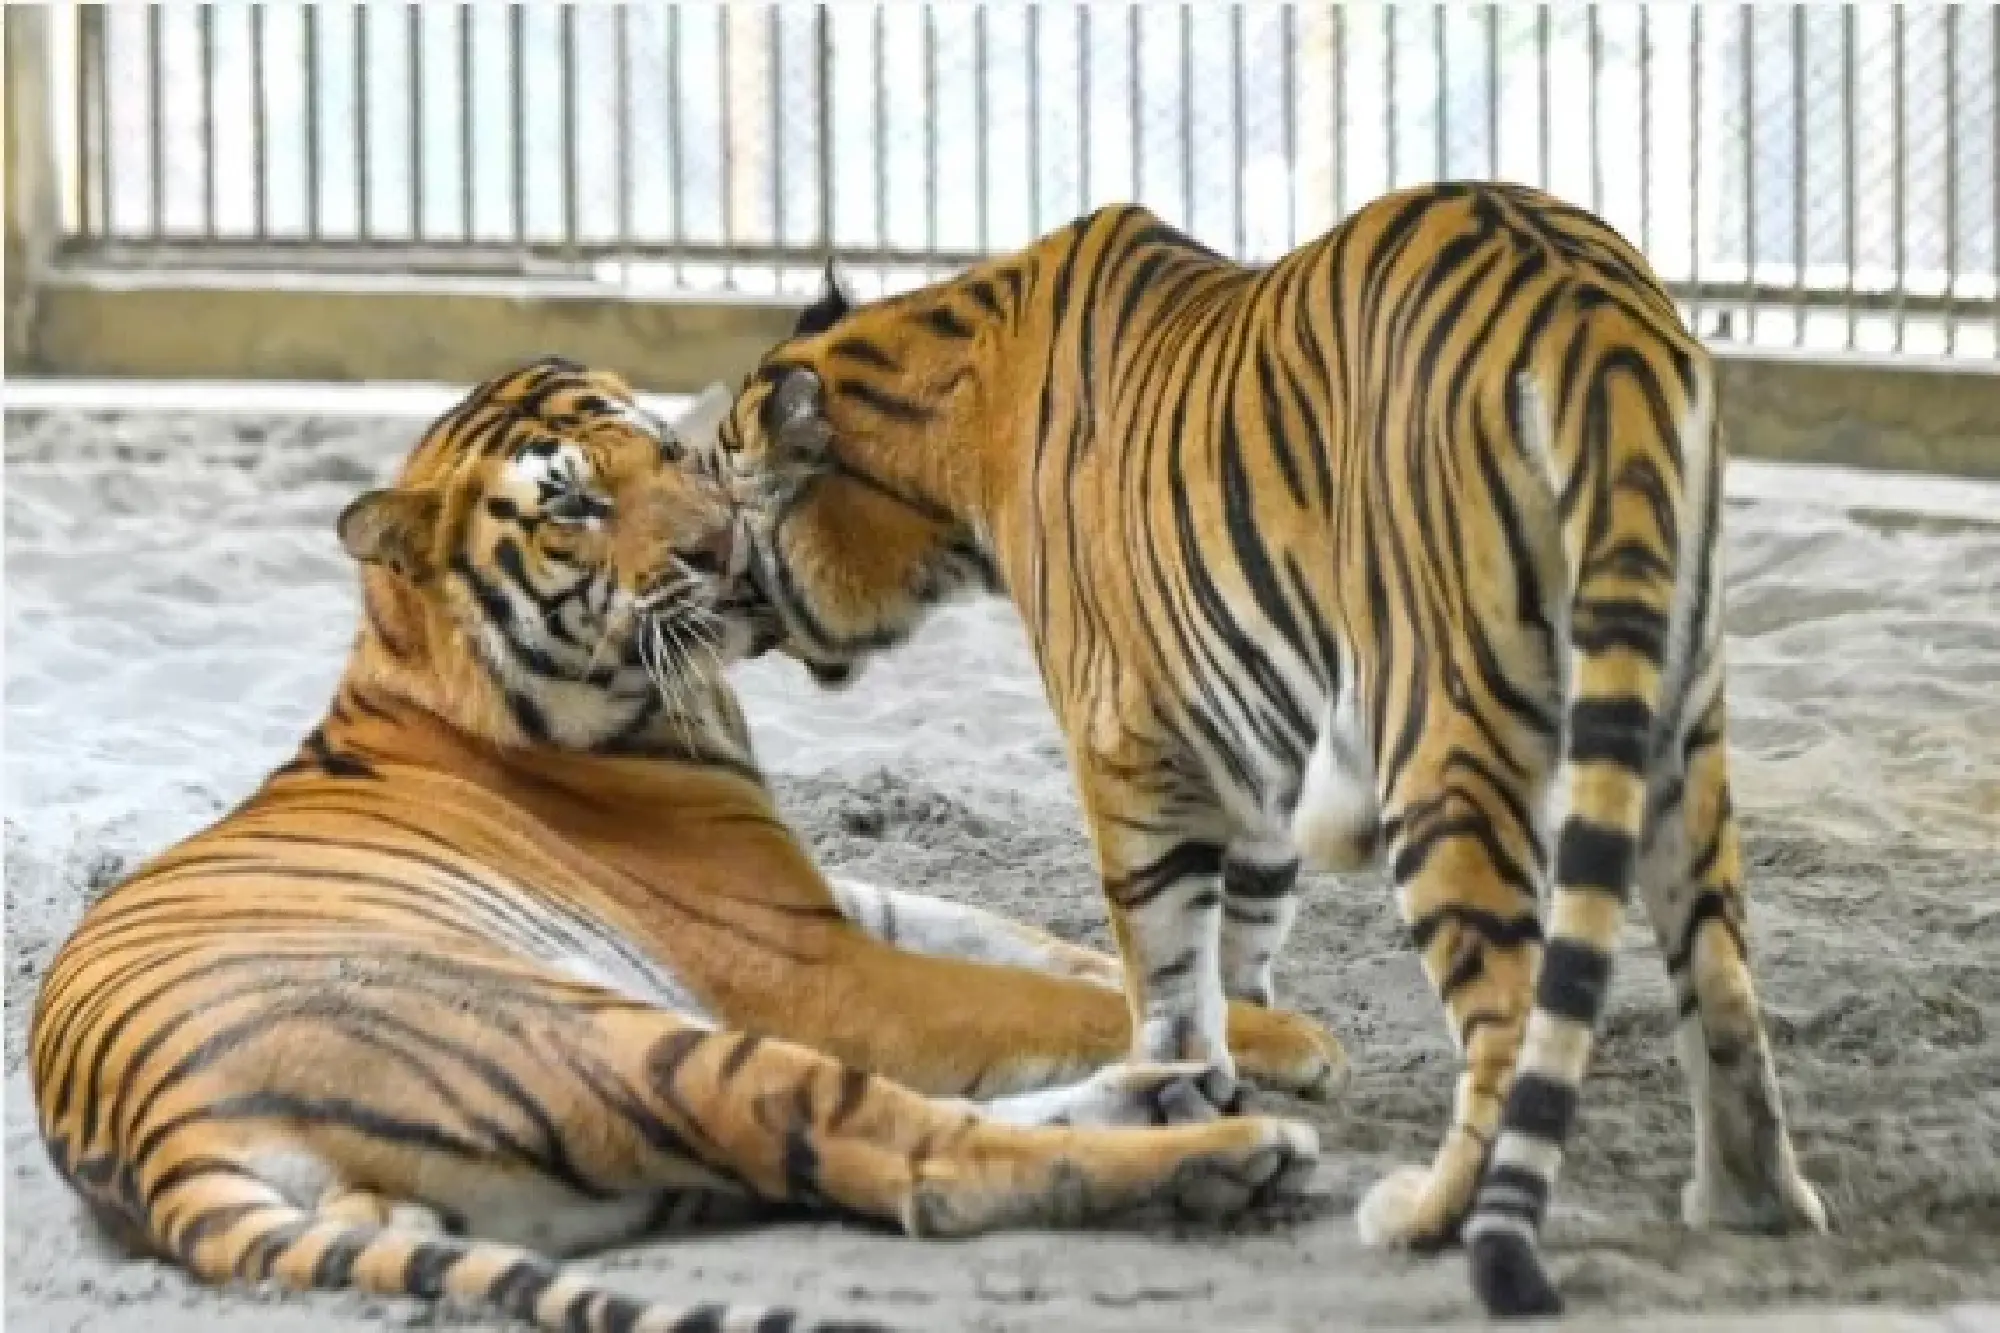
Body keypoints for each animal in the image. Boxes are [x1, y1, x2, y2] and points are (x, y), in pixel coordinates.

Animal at [27, 357, 1338, 1333]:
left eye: (663, 449)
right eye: (571, 505)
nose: (726, 547)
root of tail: (159, 1140)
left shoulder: (833, 901)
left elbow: (1039, 947)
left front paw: (1247, 1019)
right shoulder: (823, 969)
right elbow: (1029, 997)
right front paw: (1297, 1046)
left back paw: (1173, 1097)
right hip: (629, 1040)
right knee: (912, 1160)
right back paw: (1228, 1148)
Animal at [700, 180, 1829, 1317]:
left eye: (726, 492)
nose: (714, 589)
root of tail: (1593, 313)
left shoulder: (1125, 740)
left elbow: (1162, 959)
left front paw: (1183, 1081)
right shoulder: (1247, 743)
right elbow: (1239, 934)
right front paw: (1237, 1067)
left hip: (1440, 733)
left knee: (1510, 1019)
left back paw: (1429, 1216)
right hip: (1676, 720)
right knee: (1720, 978)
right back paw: (1751, 1204)